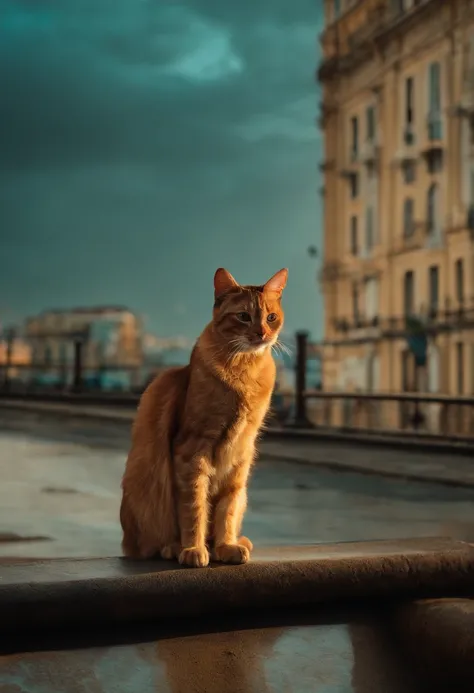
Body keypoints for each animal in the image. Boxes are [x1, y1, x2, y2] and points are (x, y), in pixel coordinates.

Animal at [120, 268, 286, 564]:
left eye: (271, 317)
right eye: (243, 316)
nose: (262, 333)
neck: (244, 371)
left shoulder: (241, 453)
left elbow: (226, 509)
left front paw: (225, 545)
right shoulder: (192, 449)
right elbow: (194, 508)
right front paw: (193, 549)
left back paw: (236, 542)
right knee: (148, 546)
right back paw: (173, 547)